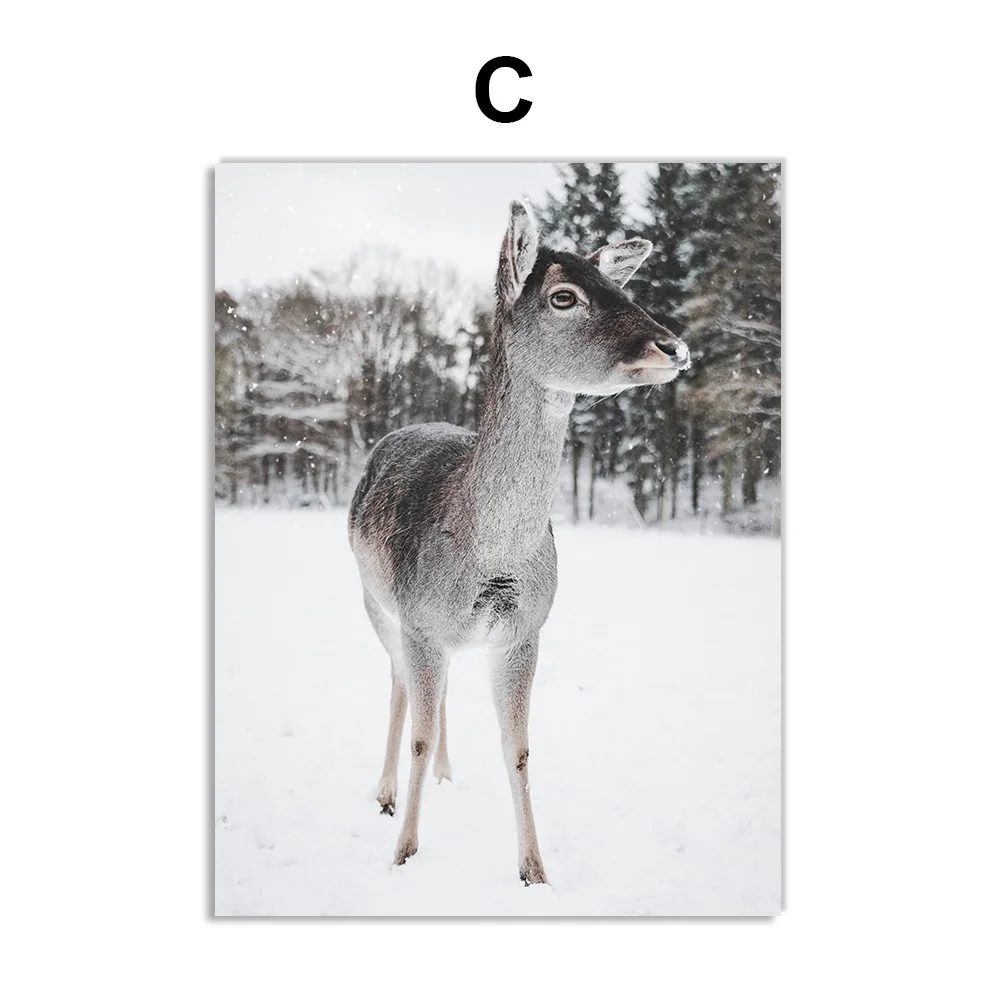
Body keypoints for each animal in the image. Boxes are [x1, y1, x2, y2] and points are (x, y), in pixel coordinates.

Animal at [347, 200, 690, 885]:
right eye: (564, 296)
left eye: (621, 285)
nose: (674, 345)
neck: (494, 560)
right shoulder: (420, 620)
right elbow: (419, 731)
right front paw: (404, 853)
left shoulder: (525, 629)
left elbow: (520, 747)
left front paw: (535, 870)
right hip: (374, 600)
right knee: (398, 683)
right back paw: (386, 792)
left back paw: (447, 774)